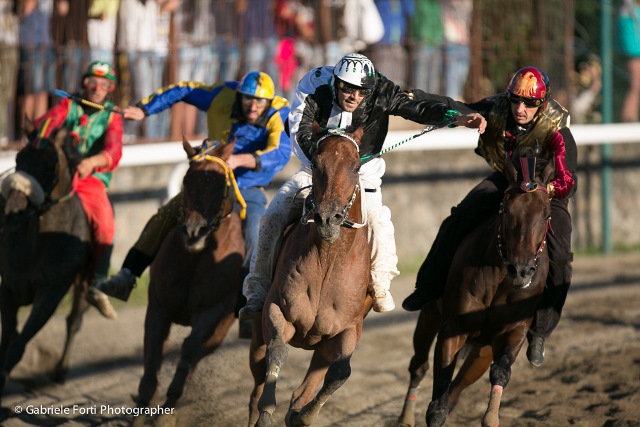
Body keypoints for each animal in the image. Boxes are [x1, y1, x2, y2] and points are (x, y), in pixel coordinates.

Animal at [0, 123, 96, 414]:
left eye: (49, 163)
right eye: (18, 158)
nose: (12, 209)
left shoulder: (51, 293)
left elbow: (17, 344)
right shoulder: (8, 288)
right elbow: (7, 337)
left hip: (83, 284)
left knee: (74, 321)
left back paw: (60, 371)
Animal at [132, 140, 245, 422]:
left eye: (219, 184)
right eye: (186, 180)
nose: (194, 231)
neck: (196, 259)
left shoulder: (213, 311)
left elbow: (190, 348)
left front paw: (167, 407)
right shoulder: (158, 306)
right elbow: (153, 350)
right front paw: (142, 406)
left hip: (220, 331)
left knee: (197, 355)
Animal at [248, 127, 372, 427]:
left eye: (356, 166)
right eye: (316, 164)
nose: (327, 218)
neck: (326, 264)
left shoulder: (348, 328)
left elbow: (341, 372)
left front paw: (303, 416)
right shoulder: (277, 309)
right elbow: (278, 350)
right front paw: (267, 414)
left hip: (324, 349)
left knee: (305, 389)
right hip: (256, 336)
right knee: (256, 387)